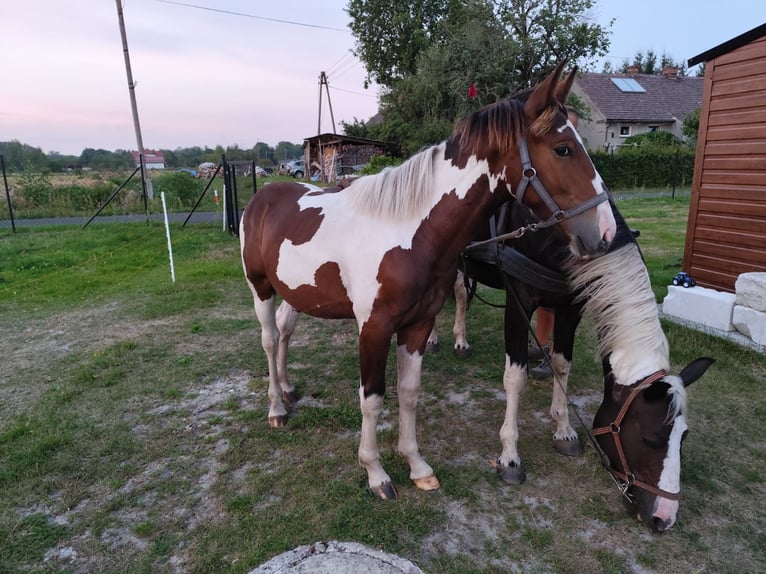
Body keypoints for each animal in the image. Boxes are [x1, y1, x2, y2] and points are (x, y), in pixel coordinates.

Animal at [240, 63, 616, 502]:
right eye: (563, 149)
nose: (605, 232)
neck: (406, 230)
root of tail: (263, 197)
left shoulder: (418, 325)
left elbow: (408, 393)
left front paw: (416, 465)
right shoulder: (374, 328)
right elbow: (372, 400)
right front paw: (376, 473)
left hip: (296, 292)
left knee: (286, 330)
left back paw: (287, 388)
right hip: (261, 289)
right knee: (269, 339)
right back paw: (276, 408)